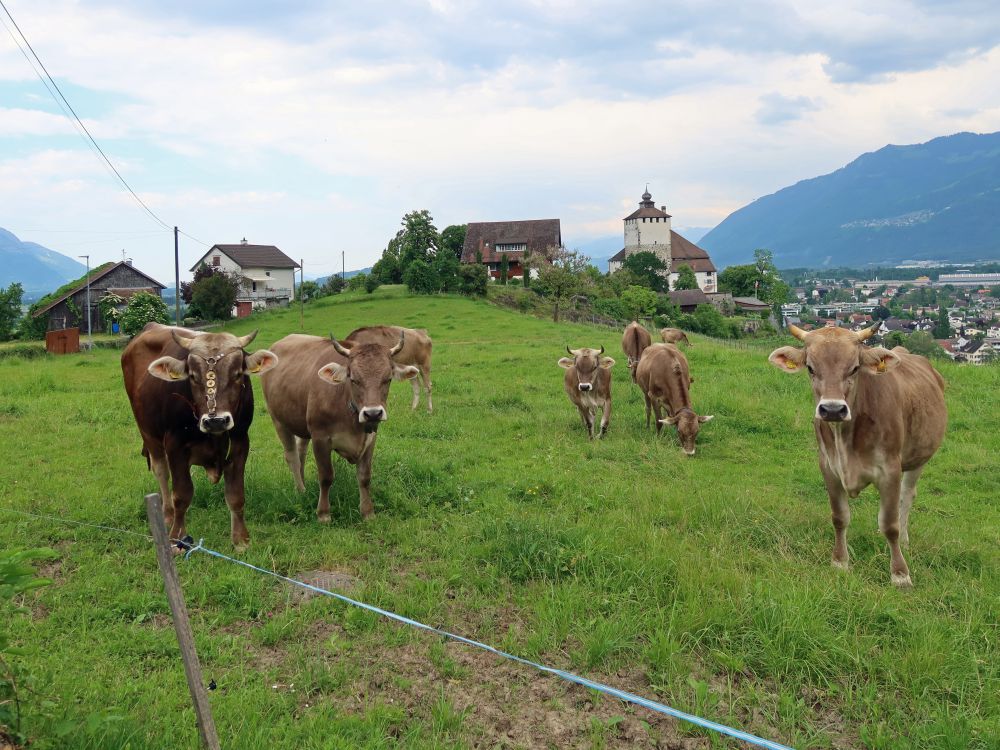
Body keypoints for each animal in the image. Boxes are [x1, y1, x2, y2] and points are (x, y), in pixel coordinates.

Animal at [121, 322, 278, 548]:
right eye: (193, 376)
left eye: (237, 374)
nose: (216, 420)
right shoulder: (174, 443)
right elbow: (182, 494)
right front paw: (177, 538)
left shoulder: (241, 440)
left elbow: (236, 494)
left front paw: (241, 539)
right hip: (148, 432)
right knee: (162, 471)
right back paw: (167, 514)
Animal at [262, 334, 418, 524]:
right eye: (354, 379)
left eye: (387, 379)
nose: (373, 413)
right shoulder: (320, 438)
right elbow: (326, 477)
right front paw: (323, 514)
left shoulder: (371, 438)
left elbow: (365, 477)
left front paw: (368, 512)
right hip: (278, 420)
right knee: (292, 456)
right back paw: (300, 490)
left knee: (301, 452)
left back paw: (303, 483)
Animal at [768, 324, 948, 588]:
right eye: (810, 367)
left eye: (854, 368)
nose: (832, 409)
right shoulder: (829, 468)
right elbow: (840, 517)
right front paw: (840, 562)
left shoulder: (890, 470)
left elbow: (890, 524)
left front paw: (900, 575)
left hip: (918, 457)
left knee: (906, 496)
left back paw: (905, 540)